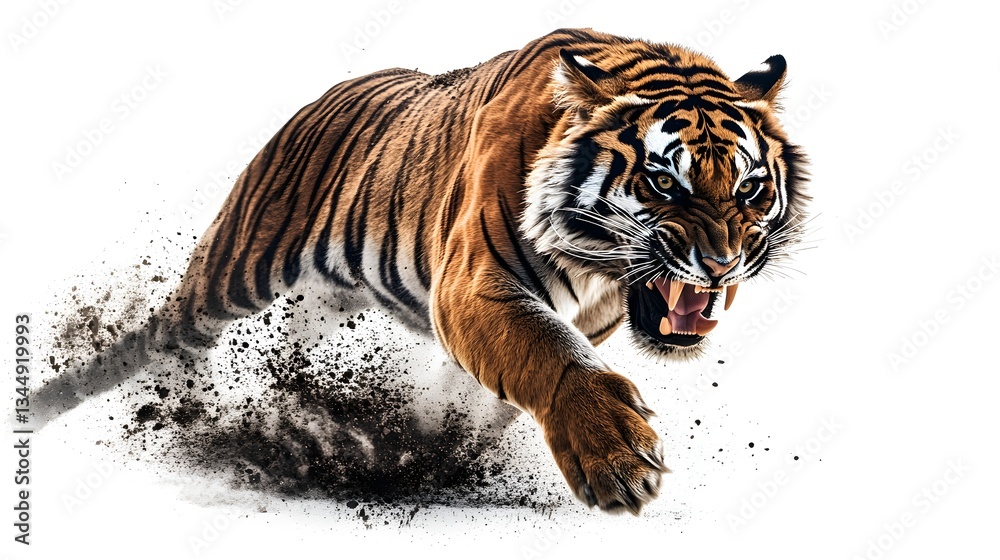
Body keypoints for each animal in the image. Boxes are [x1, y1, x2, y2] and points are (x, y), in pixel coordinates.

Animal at [31, 27, 808, 515]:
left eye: (749, 189)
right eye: (665, 184)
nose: (721, 265)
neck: (597, 270)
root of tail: (317, 100)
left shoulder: (588, 315)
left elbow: (484, 396)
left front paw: (431, 446)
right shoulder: (474, 286)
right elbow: (548, 353)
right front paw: (616, 457)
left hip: (322, 303)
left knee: (289, 354)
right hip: (232, 273)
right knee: (158, 338)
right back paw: (73, 403)